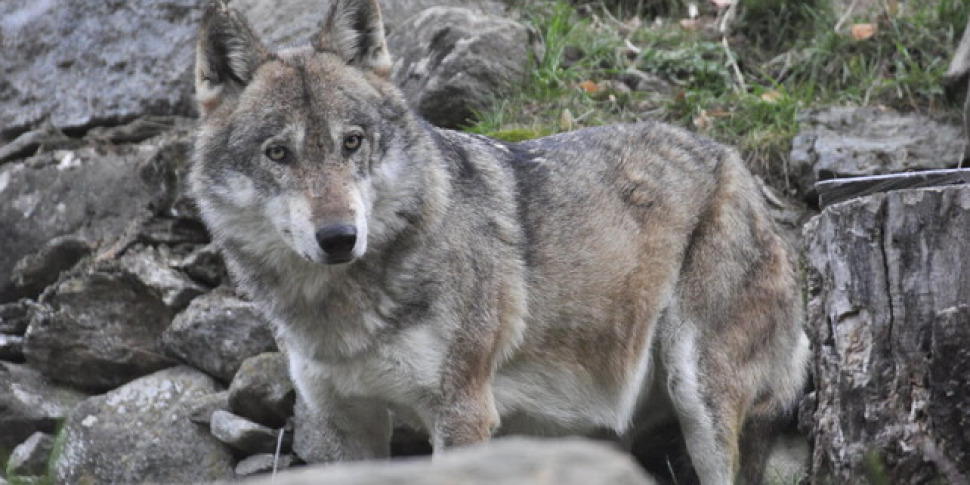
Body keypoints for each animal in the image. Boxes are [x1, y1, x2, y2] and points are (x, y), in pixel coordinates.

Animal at [191, 1, 809, 483]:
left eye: (352, 142)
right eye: (278, 153)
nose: (340, 238)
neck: (343, 309)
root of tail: (735, 162)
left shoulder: (463, 413)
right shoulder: (343, 422)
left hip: (697, 395)